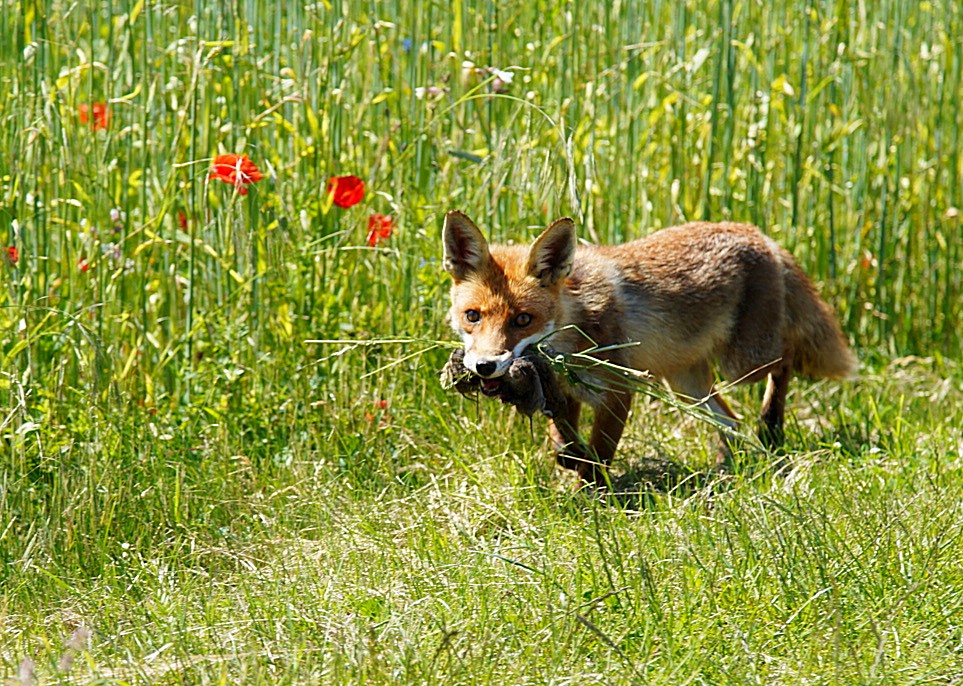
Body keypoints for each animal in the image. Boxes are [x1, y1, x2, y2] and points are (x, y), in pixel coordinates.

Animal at [444, 210, 860, 484]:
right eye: (473, 316)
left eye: (522, 320)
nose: (484, 366)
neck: (573, 327)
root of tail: (758, 232)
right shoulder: (565, 392)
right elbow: (563, 446)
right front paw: (573, 462)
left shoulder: (619, 391)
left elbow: (598, 456)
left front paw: (591, 500)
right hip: (688, 386)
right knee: (729, 420)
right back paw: (729, 463)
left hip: (743, 365)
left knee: (785, 360)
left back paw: (770, 427)